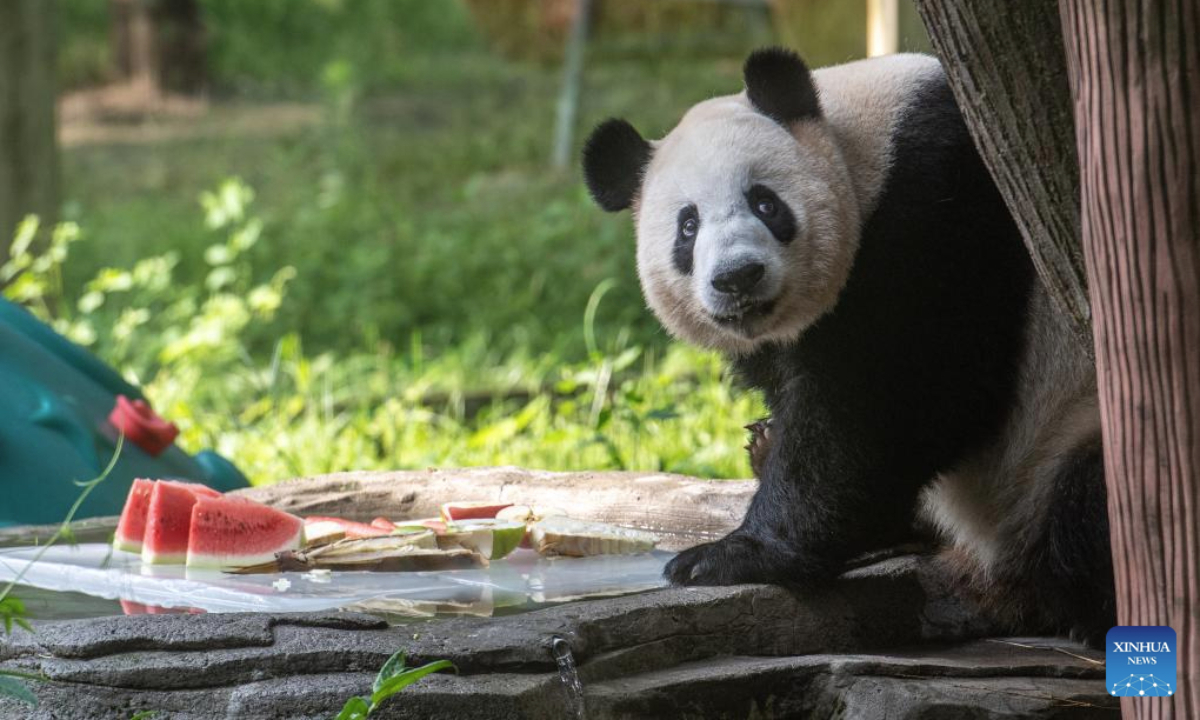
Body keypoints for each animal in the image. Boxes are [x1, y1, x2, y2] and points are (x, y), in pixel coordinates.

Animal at [581, 47, 1114, 645]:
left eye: (765, 204)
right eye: (687, 226)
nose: (738, 277)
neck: (860, 153)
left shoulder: (938, 207)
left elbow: (895, 398)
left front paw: (726, 557)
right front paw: (768, 449)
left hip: (1069, 426)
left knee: (1091, 502)